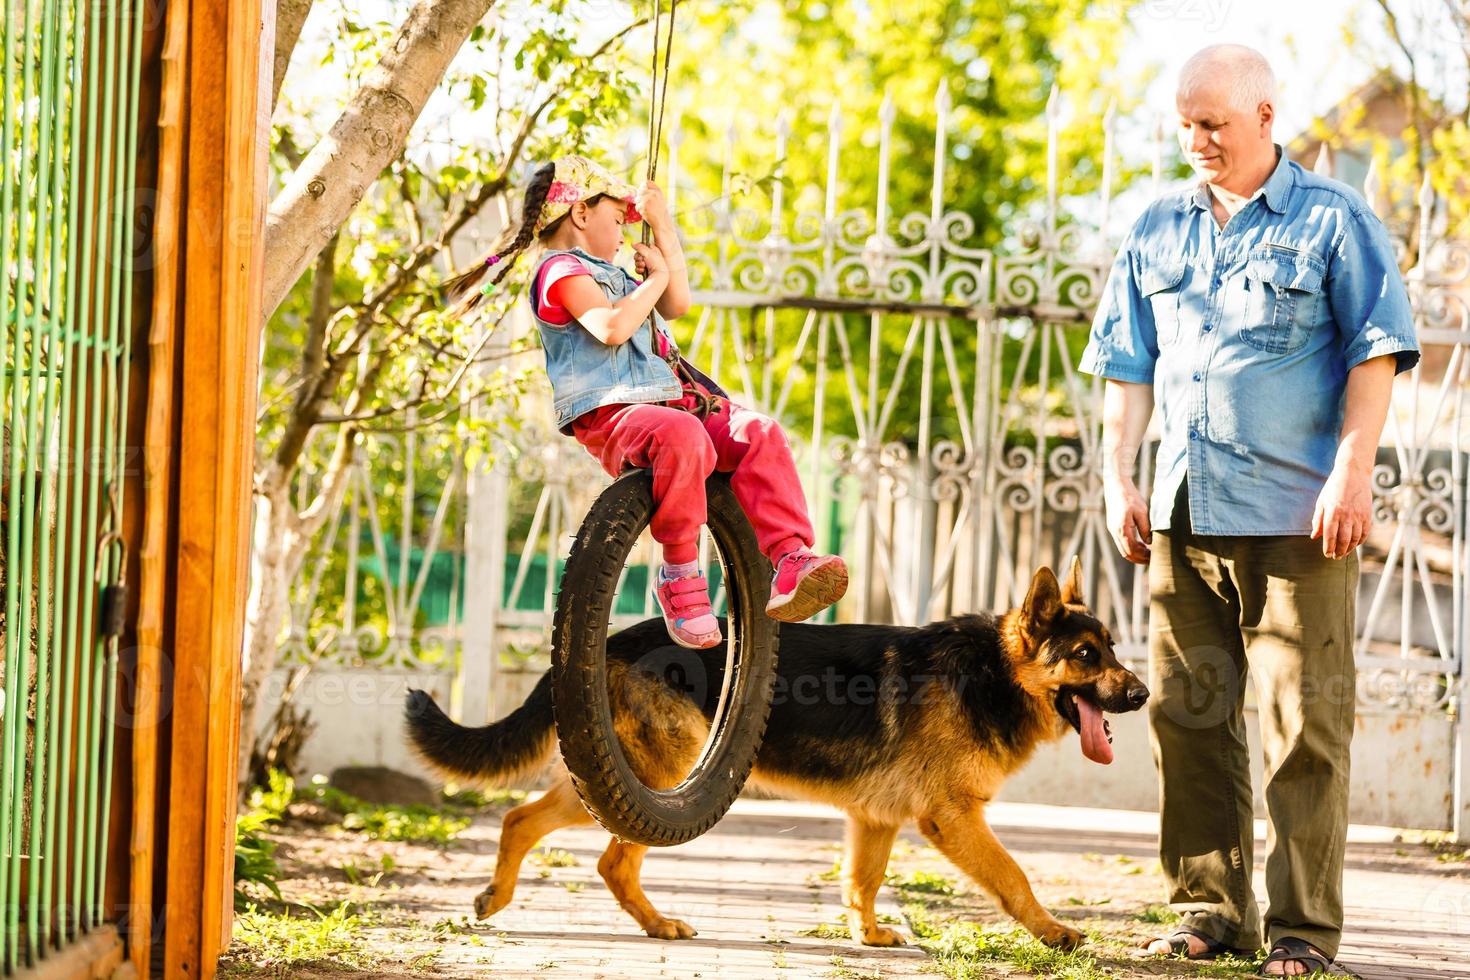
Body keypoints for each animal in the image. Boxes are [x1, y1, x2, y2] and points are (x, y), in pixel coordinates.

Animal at [402, 558, 1146, 952]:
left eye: (1111, 649)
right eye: (1087, 655)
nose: (1141, 693)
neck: (993, 672)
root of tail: (611, 640)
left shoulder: (875, 821)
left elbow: (862, 882)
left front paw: (868, 936)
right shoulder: (953, 818)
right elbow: (1014, 875)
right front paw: (1053, 930)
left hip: (625, 779)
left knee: (537, 827)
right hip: (663, 775)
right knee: (576, 843)